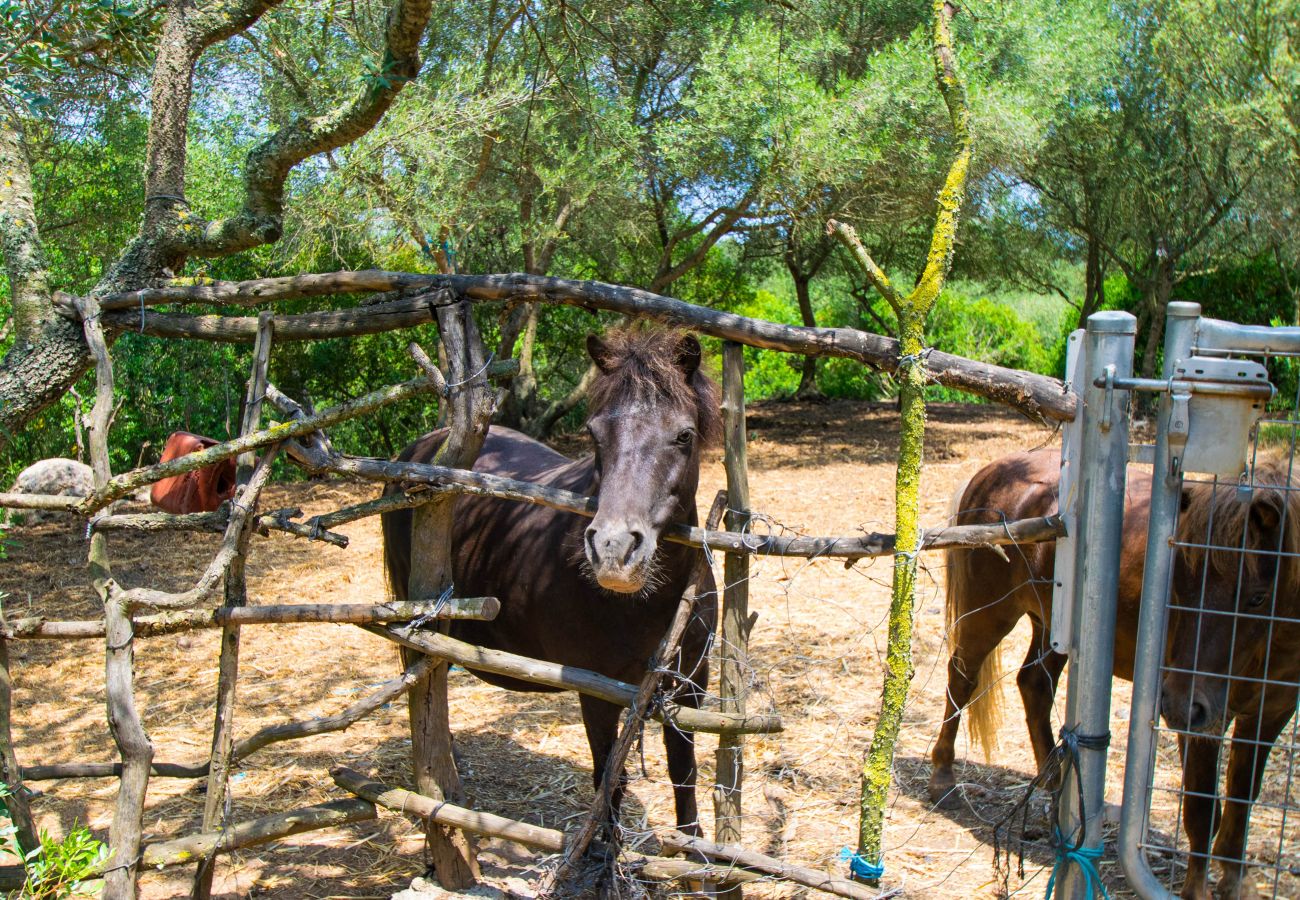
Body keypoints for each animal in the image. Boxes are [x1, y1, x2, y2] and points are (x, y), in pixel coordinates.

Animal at [379, 330, 722, 837]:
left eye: (684, 435)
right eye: (595, 434)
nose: (613, 551)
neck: (648, 605)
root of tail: (421, 449)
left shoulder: (690, 684)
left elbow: (684, 772)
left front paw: (694, 849)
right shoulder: (597, 694)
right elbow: (608, 779)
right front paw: (600, 855)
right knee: (425, 683)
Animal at [925, 450, 1300, 900]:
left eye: (1258, 598)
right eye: (1179, 588)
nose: (1176, 703)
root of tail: (992, 471)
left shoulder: (1269, 713)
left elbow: (1243, 797)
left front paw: (1235, 881)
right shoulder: (1204, 721)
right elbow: (1201, 808)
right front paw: (1197, 890)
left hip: (1052, 626)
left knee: (1033, 686)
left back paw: (1056, 791)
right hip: (990, 614)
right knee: (961, 679)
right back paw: (943, 779)